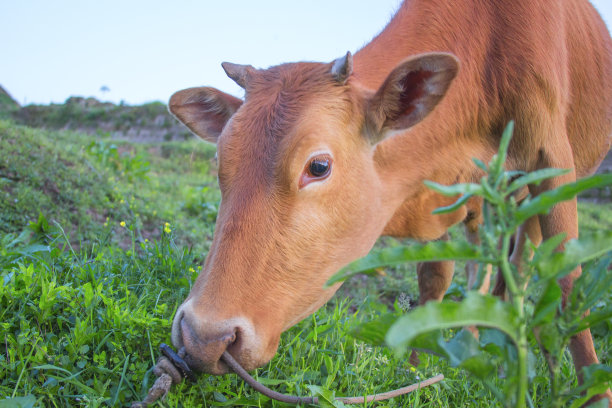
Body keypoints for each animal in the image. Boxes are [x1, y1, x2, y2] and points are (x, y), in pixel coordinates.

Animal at [169, 0, 612, 402]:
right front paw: (415, 368)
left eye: (318, 166)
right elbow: (435, 276)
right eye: (221, 160)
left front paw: (594, 391)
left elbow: (568, 277)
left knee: (521, 262)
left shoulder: (553, 161)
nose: (203, 337)